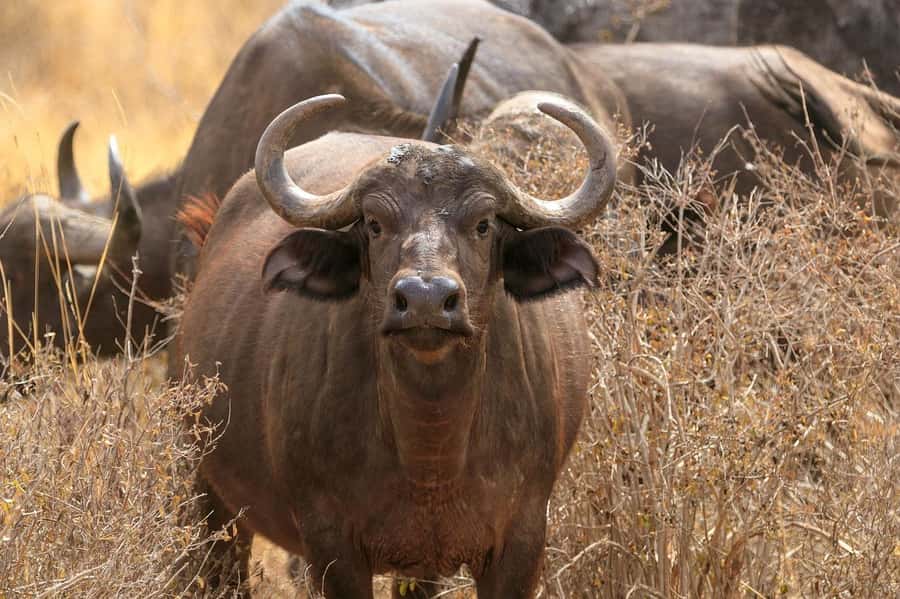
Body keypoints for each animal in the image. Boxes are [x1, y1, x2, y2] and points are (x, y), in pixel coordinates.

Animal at [173, 93, 617, 597]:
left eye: (483, 224)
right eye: (374, 223)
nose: (425, 299)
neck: (431, 450)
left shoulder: (521, 543)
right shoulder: (330, 545)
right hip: (209, 488)